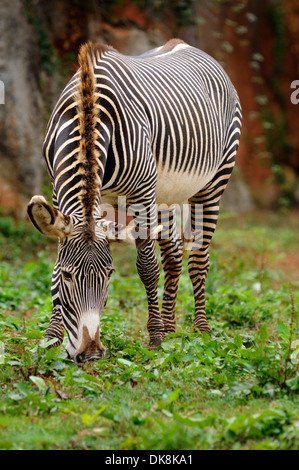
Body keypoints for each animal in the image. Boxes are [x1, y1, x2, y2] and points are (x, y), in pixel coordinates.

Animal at [27, 39, 244, 364]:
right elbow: (52, 269)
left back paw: (200, 330)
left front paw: (154, 338)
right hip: (165, 195)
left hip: (212, 182)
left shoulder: (142, 193)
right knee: (174, 255)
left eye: (109, 275)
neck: (88, 109)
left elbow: (147, 267)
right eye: (67, 276)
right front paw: (51, 340)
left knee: (198, 258)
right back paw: (171, 329)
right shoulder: (57, 191)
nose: (91, 354)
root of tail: (185, 44)